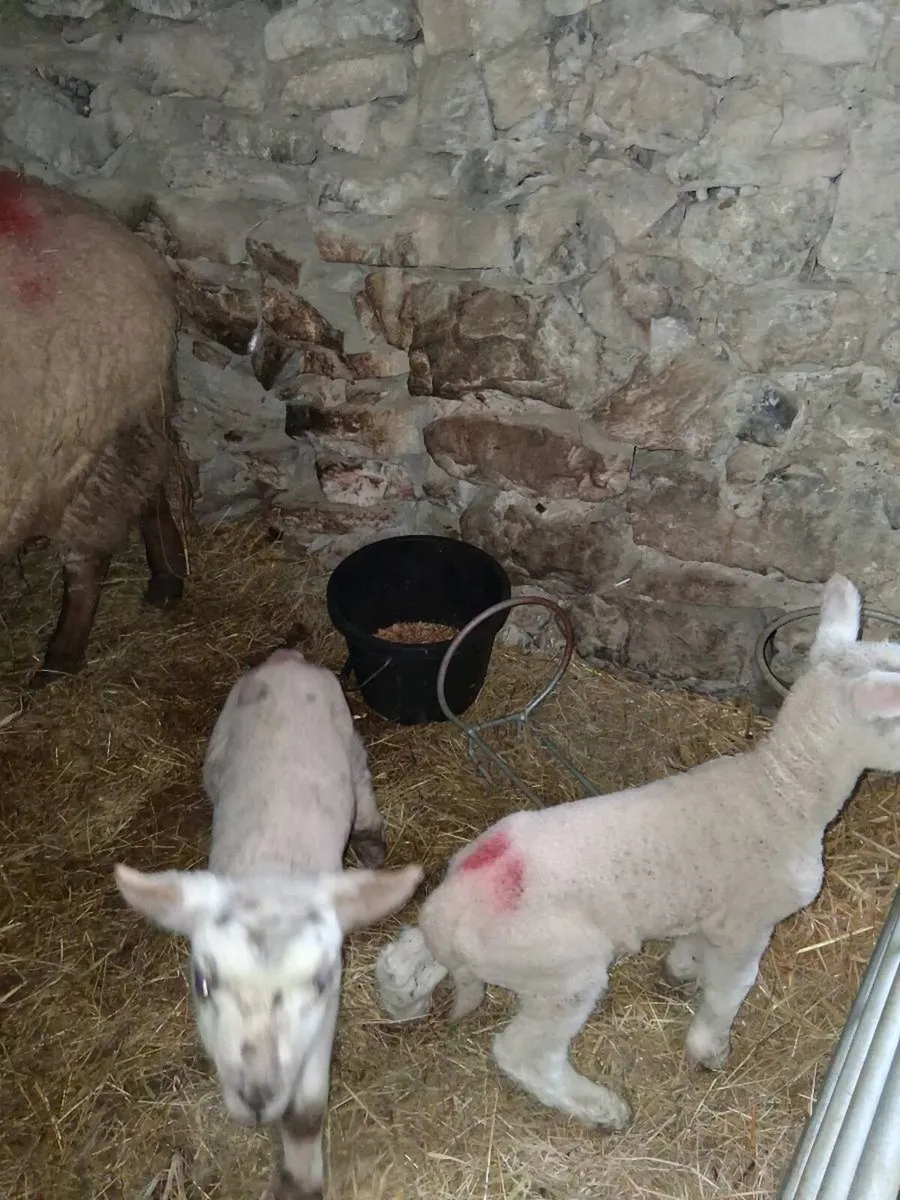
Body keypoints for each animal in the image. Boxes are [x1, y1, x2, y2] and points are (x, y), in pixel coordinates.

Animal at [1, 167, 187, 683]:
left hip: (95, 442)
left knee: (87, 560)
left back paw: (59, 662)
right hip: (130, 419)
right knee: (151, 485)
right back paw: (167, 577)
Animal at [114, 648, 422, 1200]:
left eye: (320, 982)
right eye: (202, 983)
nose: (257, 1096)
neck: (272, 873)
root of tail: (287, 659)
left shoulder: (324, 1018)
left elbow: (306, 1112)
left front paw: (299, 1181)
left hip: (345, 729)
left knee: (362, 776)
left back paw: (369, 839)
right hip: (221, 741)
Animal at [375, 574, 900, 1131]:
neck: (782, 791)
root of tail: (451, 909)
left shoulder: (711, 911)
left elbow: (694, 949)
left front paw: (681, 969)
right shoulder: (747, 923)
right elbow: (730, 988)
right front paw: (708, 1048)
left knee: (403, 955)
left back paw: (403, 1002)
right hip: (564, 971)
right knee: (524, 1054)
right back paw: (600, 1108)